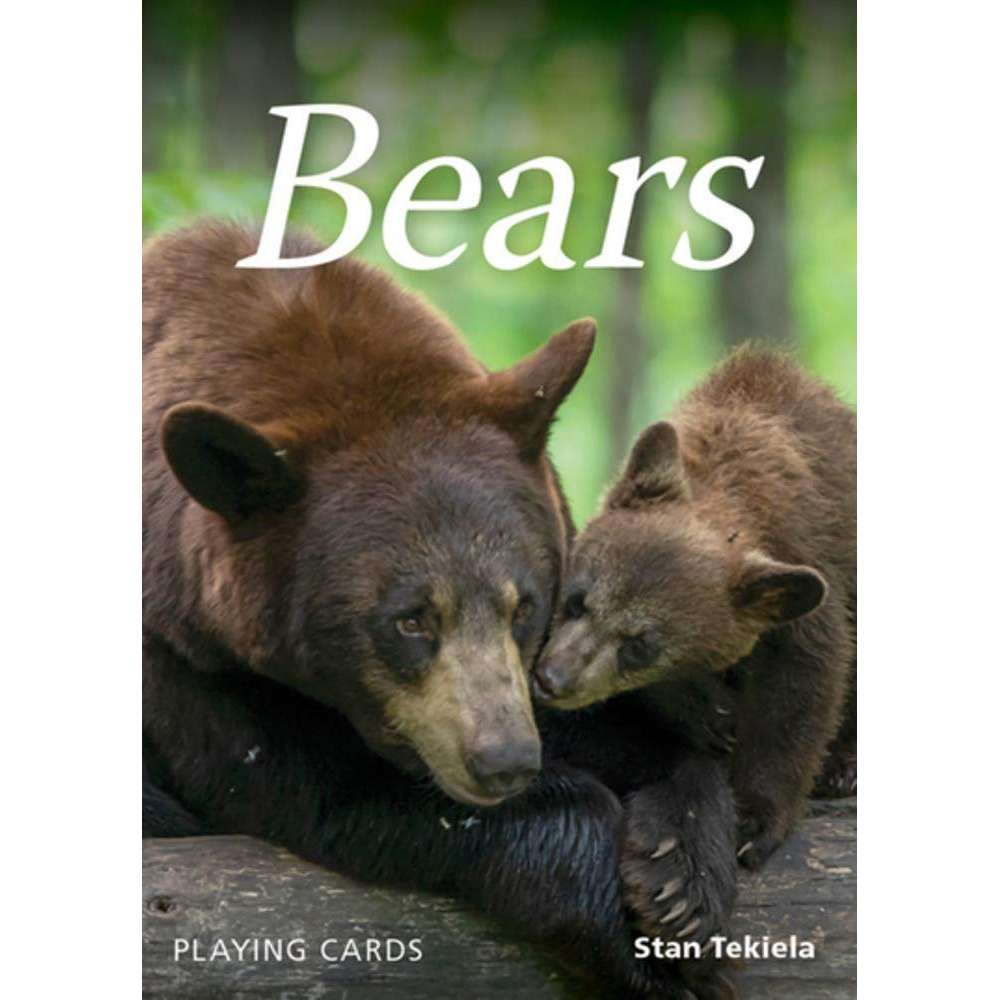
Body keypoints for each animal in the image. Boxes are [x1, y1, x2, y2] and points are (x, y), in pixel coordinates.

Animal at [142, 221, 735, 999]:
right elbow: (326, 785)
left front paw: (682, 874)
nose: (505, 761)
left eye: (525, 605)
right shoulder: (185, 659)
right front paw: (642, 945)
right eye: (410, 618)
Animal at [533, 344, 856, 942]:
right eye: (577, 599)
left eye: (640, 642)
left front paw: (751, 819)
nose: (553, 678)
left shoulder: (811, 581)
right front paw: (712, 718)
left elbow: (802, 692)